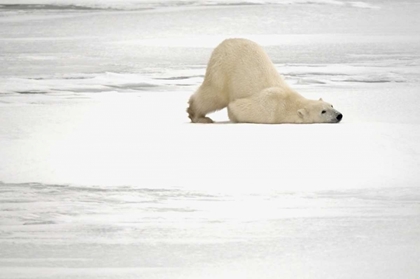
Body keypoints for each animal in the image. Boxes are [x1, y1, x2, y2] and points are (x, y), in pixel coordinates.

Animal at [185, 38, 342, 124]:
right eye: (323, 111)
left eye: (331, 105)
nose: (339, 115)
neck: (289, 101)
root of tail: (225, 42)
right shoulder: (270, 107)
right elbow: (236, 106)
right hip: (222, 70)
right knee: (213, 95)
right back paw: (198, 116)